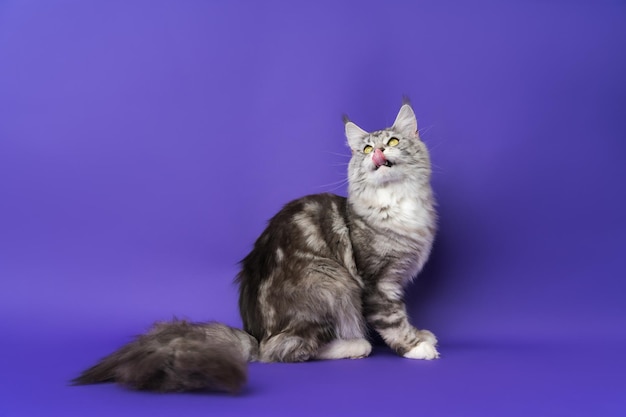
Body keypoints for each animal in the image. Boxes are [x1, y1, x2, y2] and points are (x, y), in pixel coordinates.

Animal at [70, 101, 436, 394]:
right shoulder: (377, 281)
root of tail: (254, 334)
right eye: (366, 149)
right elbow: (392, 319)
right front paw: (415, 347)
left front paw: (420, 335)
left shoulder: (393, 280)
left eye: (392, 142)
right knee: (281, 351)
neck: (395, 204)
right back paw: (354, 344)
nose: (378, 155)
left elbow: (401, 315)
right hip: (334, 281)